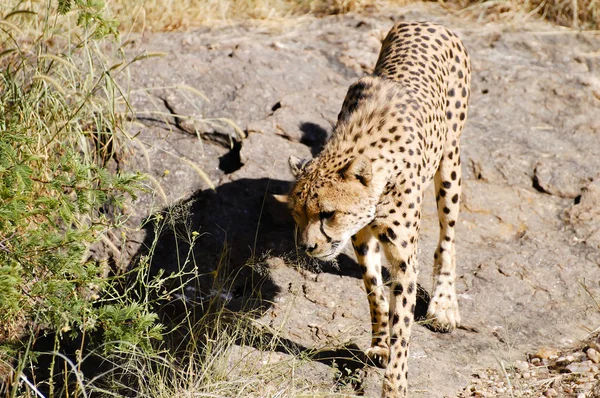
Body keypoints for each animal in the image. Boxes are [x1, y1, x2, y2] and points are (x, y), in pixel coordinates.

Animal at [288, 22, 472, 398]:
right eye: (297, 215)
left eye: (327, 213)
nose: (307, 247)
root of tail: (427, 22)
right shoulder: (361, 238)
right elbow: (375, 291)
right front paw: (379, 344)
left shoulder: (402, 256)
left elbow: (403, 322)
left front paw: (395, 382)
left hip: (450, 161)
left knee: (447, 237)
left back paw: (444, 305)